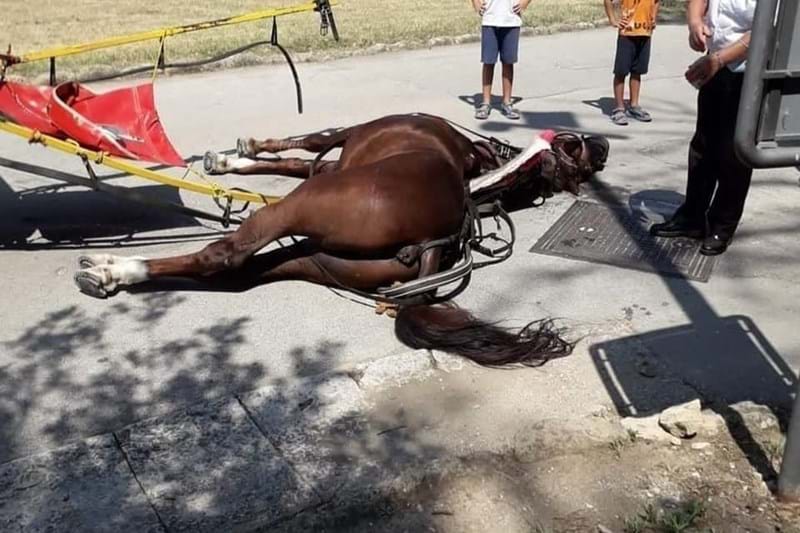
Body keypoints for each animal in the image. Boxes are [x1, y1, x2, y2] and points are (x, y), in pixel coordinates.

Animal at [75, 114, 608, 366]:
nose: (603, 145)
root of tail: (434, 240)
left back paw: (114, 270)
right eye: (577, 148)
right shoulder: (334, 163)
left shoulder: (344, 142)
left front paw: (238, 155)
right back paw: (116, 274)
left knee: (225, 255)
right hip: (314, 258)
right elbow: (293, 160)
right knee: (242, 274)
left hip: (298, 208)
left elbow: (308, 143)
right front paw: (231, 161)